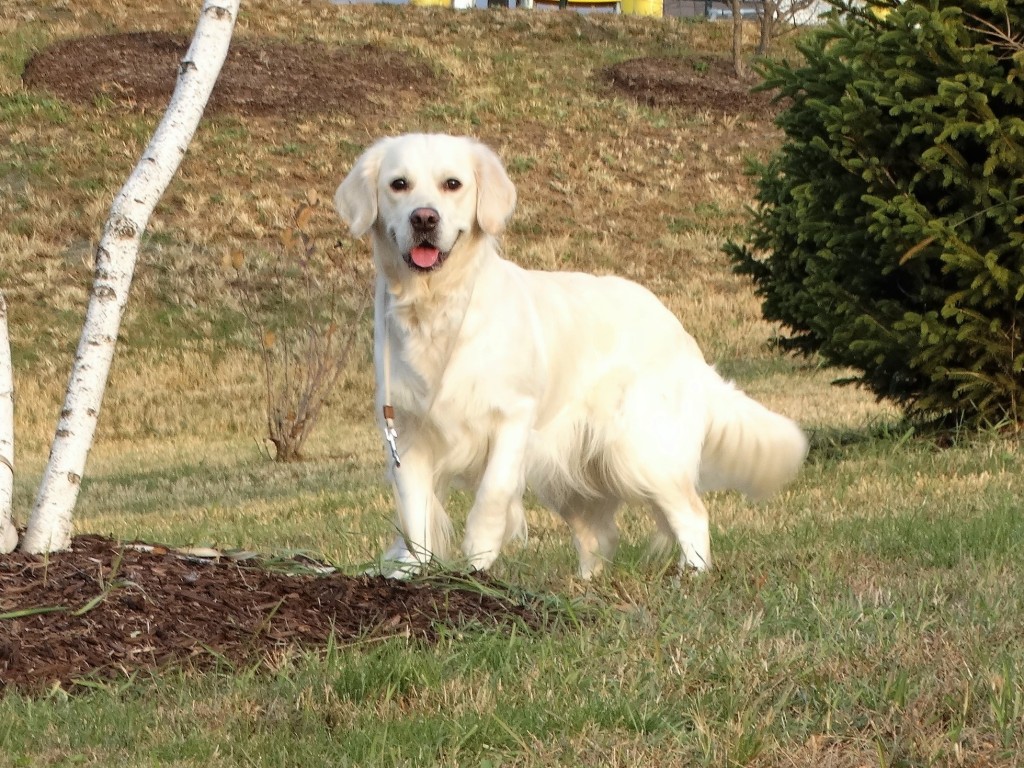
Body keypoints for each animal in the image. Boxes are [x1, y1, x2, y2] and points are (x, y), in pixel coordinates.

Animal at [331, 134, 802, 577]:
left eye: (452, 184)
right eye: (399, 184)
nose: (424, 218)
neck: (437, 309)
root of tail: (678, 329)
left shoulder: (513, 417)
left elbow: (492, 496)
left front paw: (479, 565)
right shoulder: (406, 431)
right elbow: (416, 517)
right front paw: (416, 573)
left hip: (641, 450)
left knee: (691, 512)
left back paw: (692, 577)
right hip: (570, 473)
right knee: (599, 535)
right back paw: (587, 585)